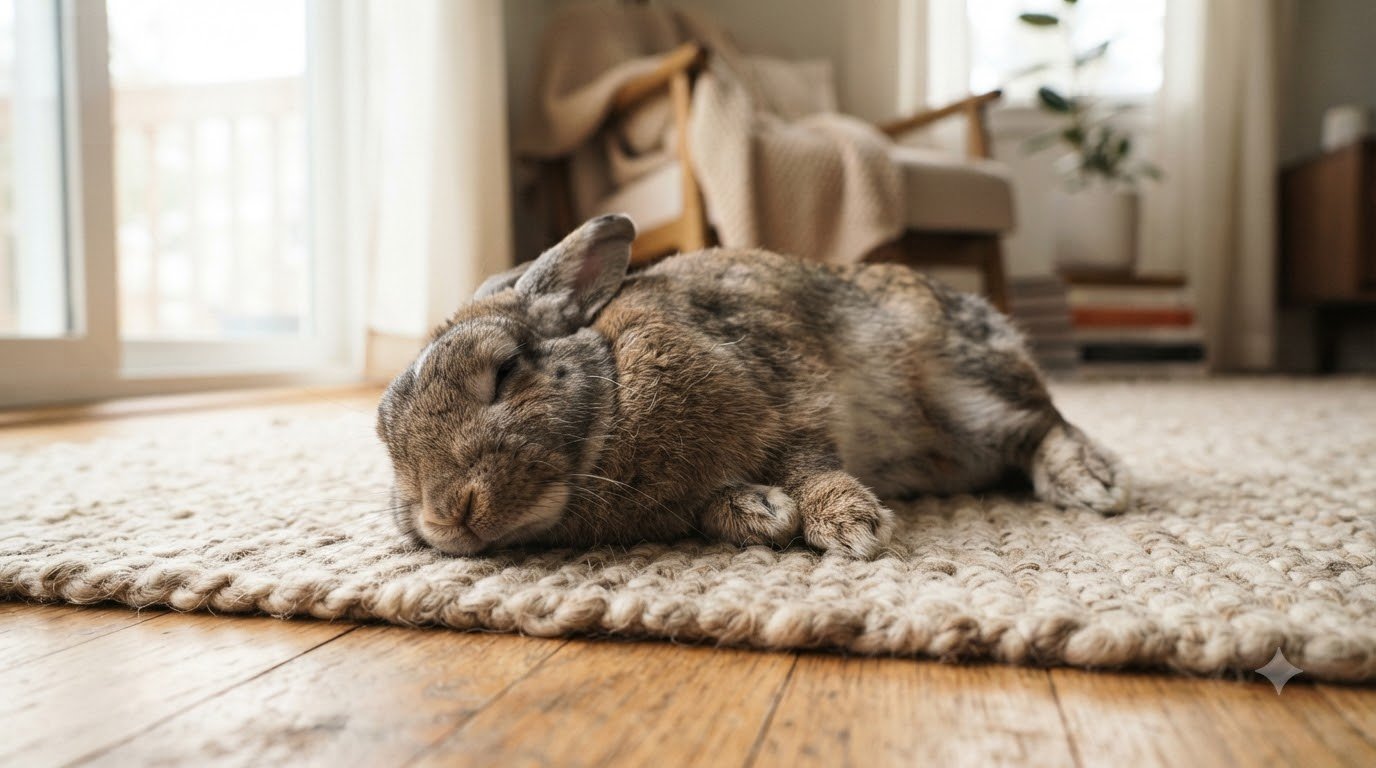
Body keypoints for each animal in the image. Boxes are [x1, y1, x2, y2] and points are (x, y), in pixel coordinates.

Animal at [376, 214, 1129, 559]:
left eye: (504, 372)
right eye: (384, 436)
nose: (448, 515)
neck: (613, 394)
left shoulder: (790, 401)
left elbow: (811, 463)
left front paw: (849, 525)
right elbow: (725, 503)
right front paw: (763, 514)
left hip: (964, 390)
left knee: (1044, 423)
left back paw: (1092, 480)